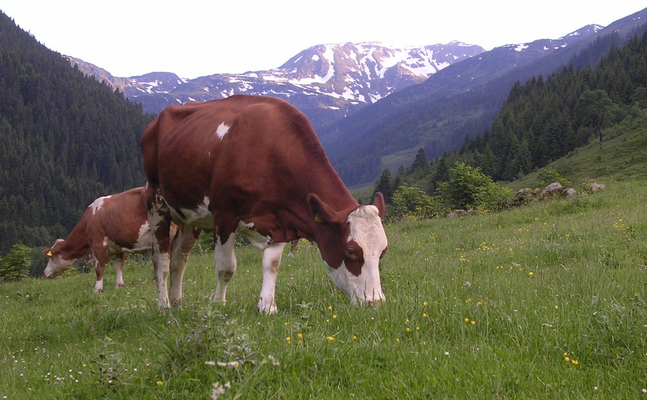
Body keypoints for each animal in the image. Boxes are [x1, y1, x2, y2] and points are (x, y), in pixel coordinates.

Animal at [43, 186, 172, 292]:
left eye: (52, 258)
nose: (45, 272)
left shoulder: (98, 244)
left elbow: (99, 268)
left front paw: (97, 289)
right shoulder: (120, 246)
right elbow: (118, 266)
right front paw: (119, 285)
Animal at [141, 94, 388, 312]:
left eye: (383, 251)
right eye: (351, 251)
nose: (375, 302)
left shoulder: (279, 220)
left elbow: (272, 265)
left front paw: (267, 306)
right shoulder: (224, 215)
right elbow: (226, 268)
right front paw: (218, 305)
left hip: (190, 218)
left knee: (179, 260)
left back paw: (177, 303)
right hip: (156, 201)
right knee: (161, 261)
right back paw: (164, 305)